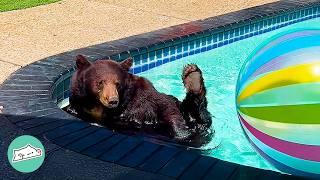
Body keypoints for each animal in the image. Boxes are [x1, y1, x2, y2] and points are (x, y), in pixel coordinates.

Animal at [69, 54, 214, 146]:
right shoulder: (79, 105)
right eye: (100, 82)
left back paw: (193, 77)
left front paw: (181, 132)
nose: (113, 100)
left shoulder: (142, 95)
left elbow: (164, 104)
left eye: (117, 84)